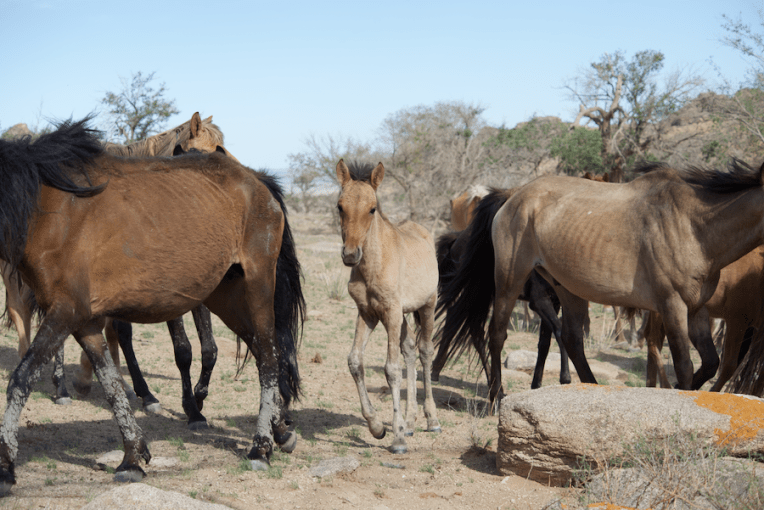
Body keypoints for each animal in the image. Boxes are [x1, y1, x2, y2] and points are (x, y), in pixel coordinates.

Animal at [1, 112, 226, 429]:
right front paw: (190, 409)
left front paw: (198, 398)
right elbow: (181, 349)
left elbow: (209, 349)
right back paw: (60, 387)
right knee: (23, 314)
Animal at [336, 159, 441, 454]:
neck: (374, 264)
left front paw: (397, 439)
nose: (350, 255)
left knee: (425, 352)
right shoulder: (368, 314)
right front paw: (378, 427)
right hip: (403, 316)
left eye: (372, 208)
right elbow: (355, 361)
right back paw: (411, 421)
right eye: (339, 206)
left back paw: (431, 419)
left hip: (427, 305)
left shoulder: (391, 313)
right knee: (410, 350)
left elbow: (391, 369)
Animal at [433, 187, 571, 391]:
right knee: (474, 331)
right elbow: (560, 331)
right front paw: (565, 377)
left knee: (456, 320)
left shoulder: (555, 303)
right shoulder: (539, 301)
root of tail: (457, 241)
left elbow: (545, 342)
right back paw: (495, 386)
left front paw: (536, 385)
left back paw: (436, 369)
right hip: (478, 295)